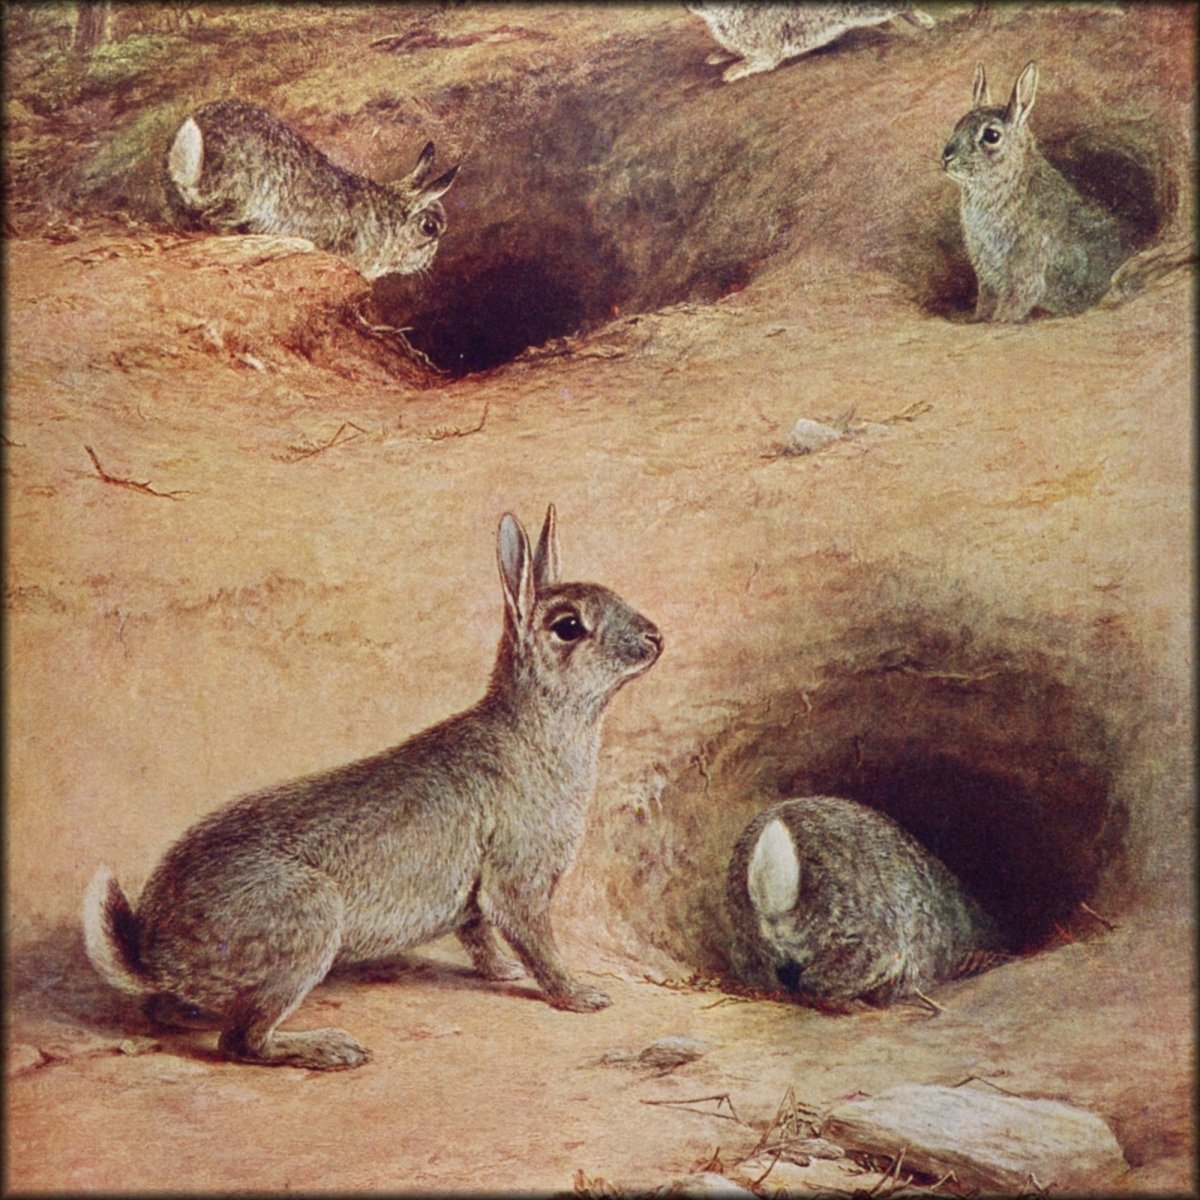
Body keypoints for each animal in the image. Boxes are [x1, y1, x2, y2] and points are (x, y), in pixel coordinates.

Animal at [83, 506, 663, 1070]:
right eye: (568, 627)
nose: (656, 638)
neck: (538, 726)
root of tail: (154, 956)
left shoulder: (477, 895)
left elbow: (479, 935)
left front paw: (504, 974)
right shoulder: (518, 877)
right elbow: (536, 942)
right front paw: (580, 995)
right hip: (308, 923)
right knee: (242, 1041)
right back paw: (332, 1049)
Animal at [686, 4, 934, 83]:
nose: (687, 4)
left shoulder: (767, 53)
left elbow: (754, 62)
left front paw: (731, 73)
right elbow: (732, 51)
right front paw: (716, 56)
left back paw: (926, 21)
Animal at [941, 62, 1136, 322]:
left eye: (992, 136)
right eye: (958, 124)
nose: (947, 157)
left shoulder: (1024, 275)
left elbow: (1009, 311)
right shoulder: (987, 277)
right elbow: (985, 306)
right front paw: (976, 320)